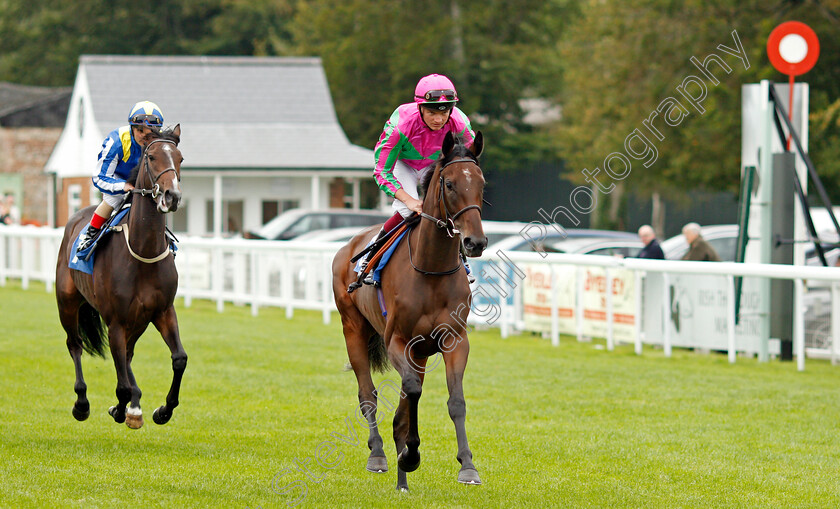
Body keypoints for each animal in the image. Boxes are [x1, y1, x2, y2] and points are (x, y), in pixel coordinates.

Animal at [56, 125, 187, 426]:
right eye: (151, 157)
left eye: (180, 158)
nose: (172, 196)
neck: (143, 251)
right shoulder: (115, 320)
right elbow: (121, 385)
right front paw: (119, 407)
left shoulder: (162, 310)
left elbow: (179, 359)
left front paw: (163, 410)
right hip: (67, 302)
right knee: (75, 345)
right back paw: (82, 403)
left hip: (139, 320)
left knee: (127, 355)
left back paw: (135, 406)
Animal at [330, 130, 486, 488]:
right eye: (450, 184)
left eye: (482, 183)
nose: (475, 242)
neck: (431, 269)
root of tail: (347, 246)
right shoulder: (397, 340)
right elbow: (411, 392)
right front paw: (410, 455)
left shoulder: (454, 340)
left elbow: (454, 400)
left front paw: (467, 465)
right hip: (353, 328)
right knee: (368, 395)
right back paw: (379, 455)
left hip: (420, 353)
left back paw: (402, 477)